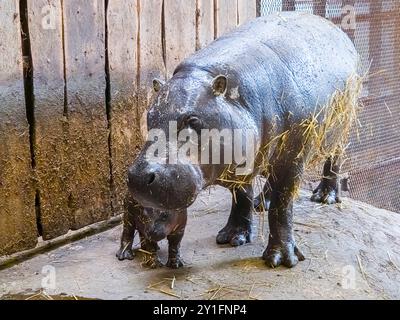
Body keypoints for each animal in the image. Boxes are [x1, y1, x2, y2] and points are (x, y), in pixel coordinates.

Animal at [119, 11, 360, 268]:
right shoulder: (239, 161)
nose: (140, 177)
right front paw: (232, 237)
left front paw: (281, 259)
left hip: (342, 128)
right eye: (149, 116)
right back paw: (261, 204)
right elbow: (241, 196)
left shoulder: (293, 157)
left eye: (193, 120)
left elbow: (283, 206)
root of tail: (335, 28)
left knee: (334, 161)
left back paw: (325, 197)